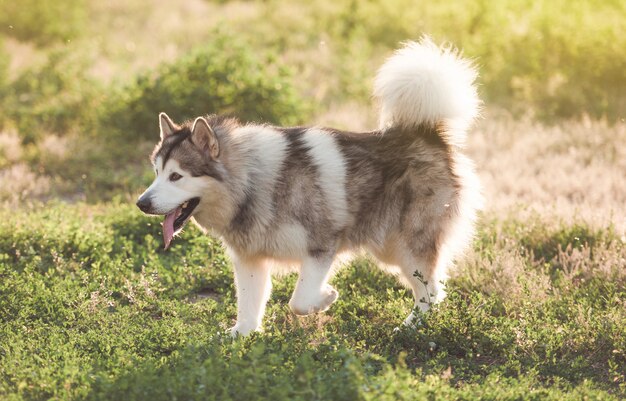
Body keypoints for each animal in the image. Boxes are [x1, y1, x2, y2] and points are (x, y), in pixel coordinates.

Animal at [135, 39, 478, 336]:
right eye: (156, 172)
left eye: (176, 176)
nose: (142, 203)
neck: (253, 183)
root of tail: (428, 134)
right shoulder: (250, 260)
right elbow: (249, 305)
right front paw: (241, 336)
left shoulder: (321, 247)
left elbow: (298, 301)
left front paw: (326, 297)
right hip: (389, 248)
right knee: (432, 289)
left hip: (410, 247)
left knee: (431, 292)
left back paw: (409, 331)